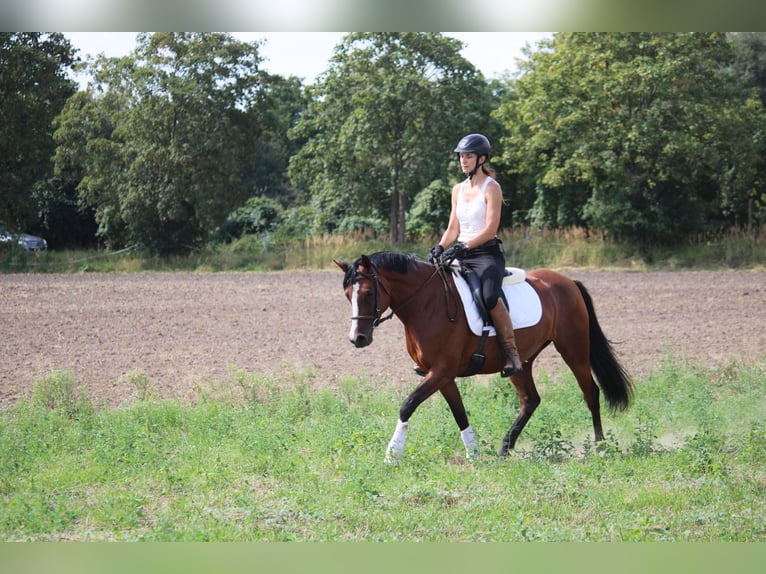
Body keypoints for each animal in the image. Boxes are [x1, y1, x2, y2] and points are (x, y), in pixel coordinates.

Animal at [336, 252, 636, 464]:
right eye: (348, 295)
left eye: (368, 293)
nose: (357, 339)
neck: (427, 304)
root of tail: (568, 281)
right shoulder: (441, 376)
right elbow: (459, 413)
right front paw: (474, 453)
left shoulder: (441, 371)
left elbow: (407, 405)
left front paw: (392, 454)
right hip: (522, 362)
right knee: (530, 400)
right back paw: (505, 448)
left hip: (573, 349)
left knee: (590, 392)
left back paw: (599, 446)